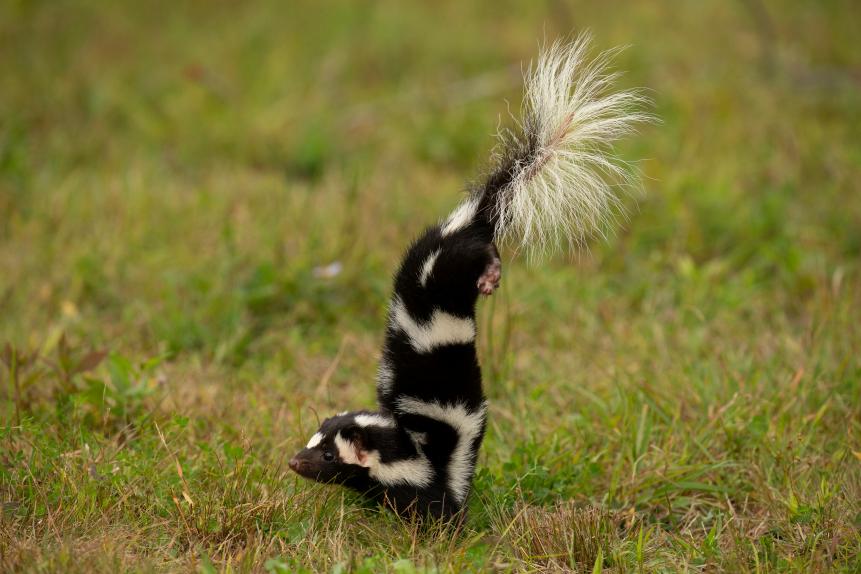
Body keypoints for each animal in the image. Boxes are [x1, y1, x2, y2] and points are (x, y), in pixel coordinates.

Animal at [288, 36, 652, 520]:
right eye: (313, 443)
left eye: (329, 455)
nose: (294, 461)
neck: (411, 449)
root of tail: (469, 218)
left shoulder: (446, 466)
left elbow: (439, 498)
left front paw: (444, 521)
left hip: (462, 259)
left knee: (487, 256)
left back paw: (490, 277)